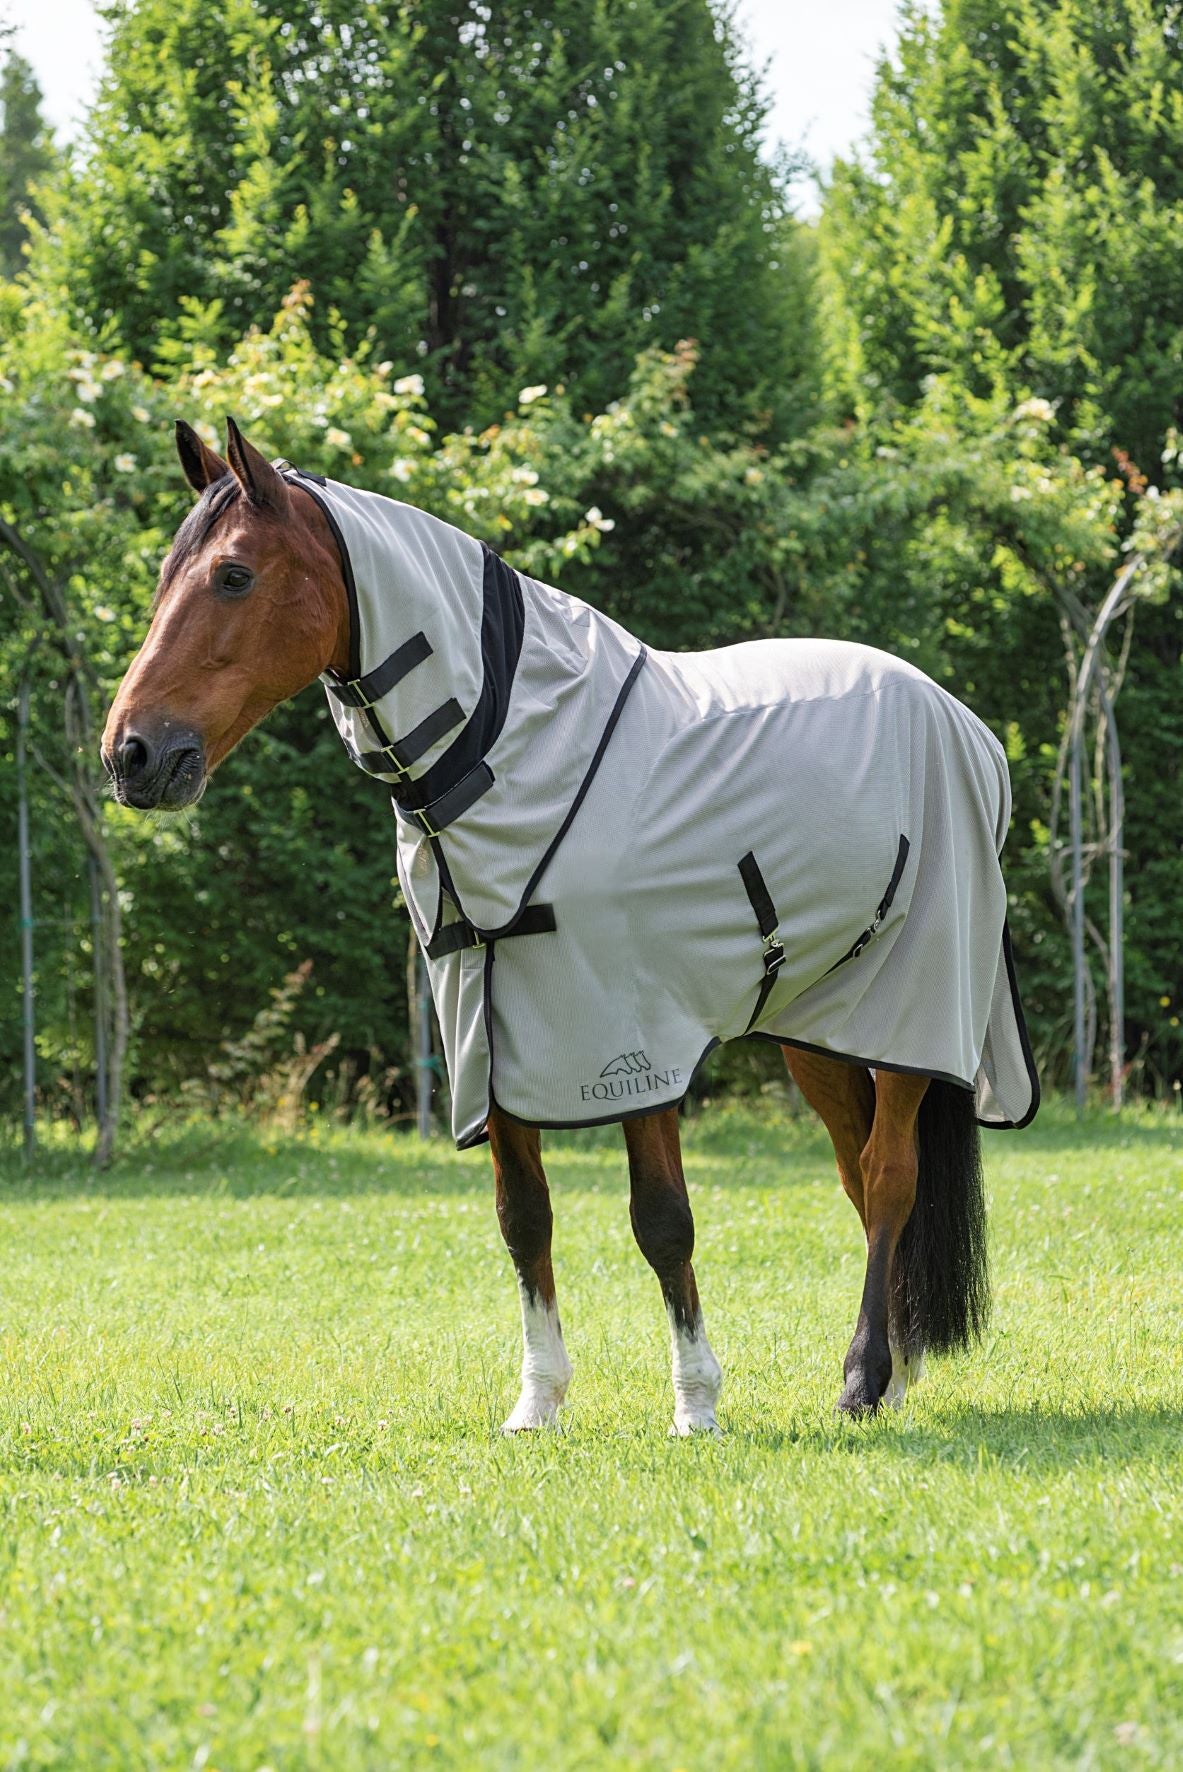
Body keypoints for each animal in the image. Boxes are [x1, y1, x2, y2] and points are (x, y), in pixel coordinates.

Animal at [106, 414, 1041, 1424]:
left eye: (233, 575)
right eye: (165, 576)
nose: (131, 754)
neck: (503, 749)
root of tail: (961, 723)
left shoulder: (633, 1038)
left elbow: (663, 1222)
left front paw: (695, 1405)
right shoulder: (490, 1031)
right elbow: (524, 1219)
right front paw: (538, 1402)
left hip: (913, 1011)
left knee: (889, 1177)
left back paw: (864, 1377)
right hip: (821, 1029)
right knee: (860, 1181)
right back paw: (896, 1372)